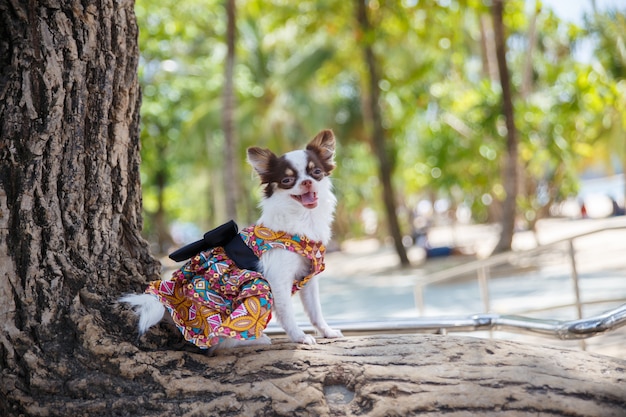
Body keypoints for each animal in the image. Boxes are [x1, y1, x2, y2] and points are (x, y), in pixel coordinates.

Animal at [120, 129, 342, 348]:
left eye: (316, 172)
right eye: (287, 181)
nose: (307, 181)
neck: (303, 218)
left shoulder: (308, 276)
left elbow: (315, 311)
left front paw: (327, 331)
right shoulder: (278, 279)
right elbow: (287, 312)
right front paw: (299, 336)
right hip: (257, 286)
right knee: (220, 339)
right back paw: (256, 339)